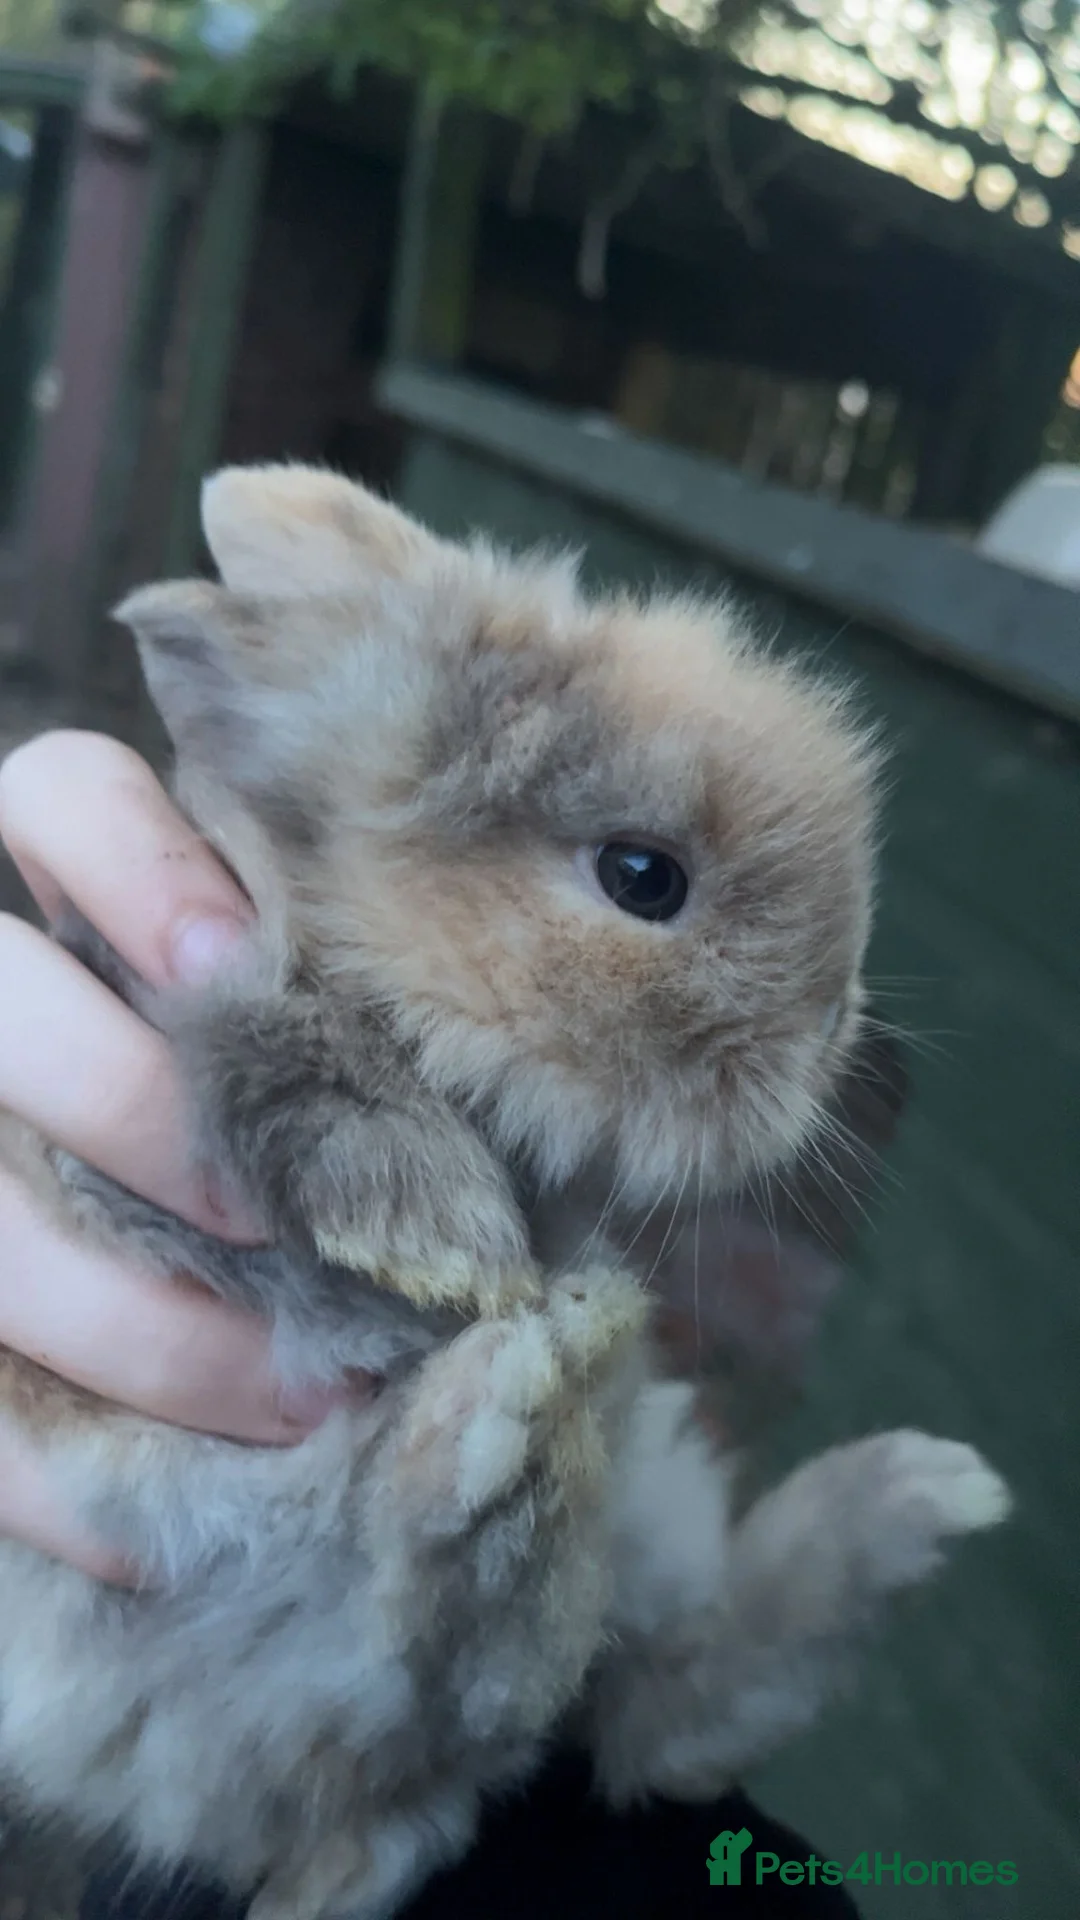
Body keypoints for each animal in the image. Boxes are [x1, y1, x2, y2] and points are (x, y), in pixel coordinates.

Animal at [0, 466, 1010, 1920]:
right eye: (643, 876)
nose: (835, 1028)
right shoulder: (168, 1055)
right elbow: (274, 1038)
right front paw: (447, 1241)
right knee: (459, 1666)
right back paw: (514, 1405)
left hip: (632, 1530)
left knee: (597, 1709)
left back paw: (902, 1486)